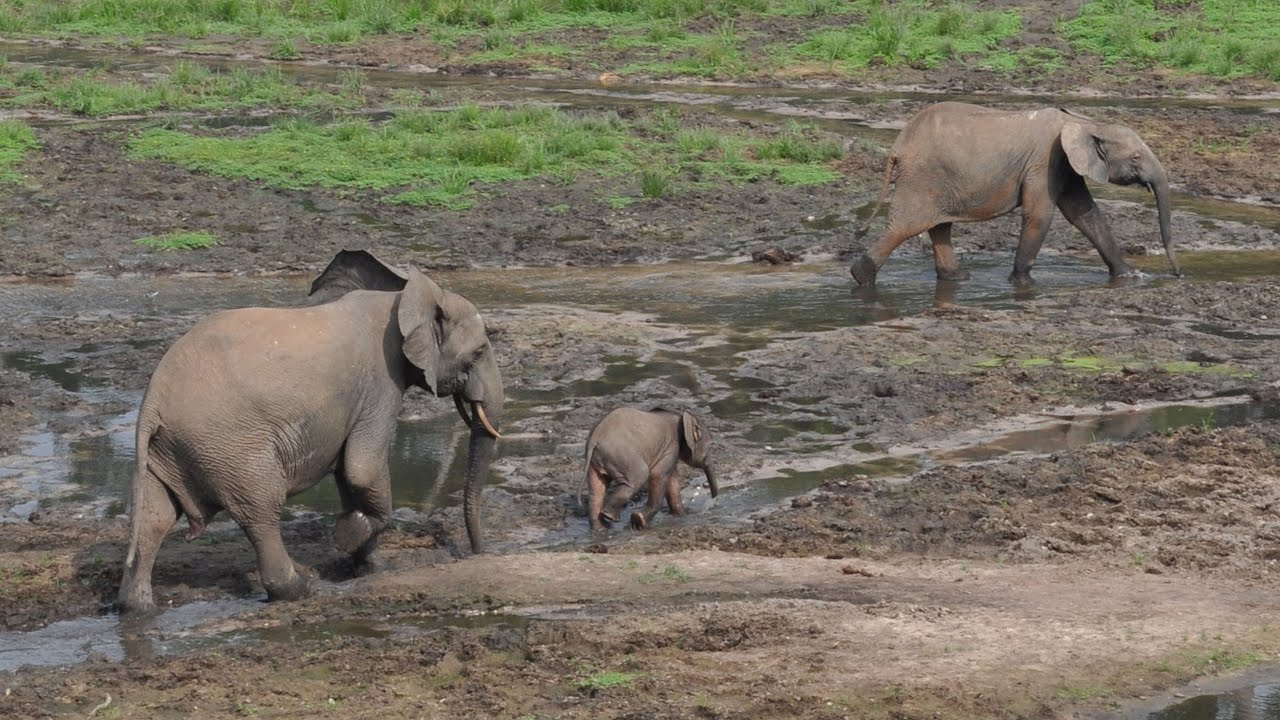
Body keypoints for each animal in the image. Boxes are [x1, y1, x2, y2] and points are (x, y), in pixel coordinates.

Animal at [117, 250, 504, 613]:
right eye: (478, 352)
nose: (476, 552)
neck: (405, 297)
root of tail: (152, 397)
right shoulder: (381, 382)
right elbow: (362, 469)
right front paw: (348, 536)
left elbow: (349, 475)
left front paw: (373, 568)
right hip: (227, 445)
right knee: (261, 511)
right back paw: (300, 589)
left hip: (169, 446)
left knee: (153, 517)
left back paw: (137, 607)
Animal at [583, 407, 718, 531]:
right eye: (710, 446)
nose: (713, 499)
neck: (682, 417)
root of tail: (595, 437)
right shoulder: (671, 447)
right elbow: (658, 475)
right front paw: (638, 520)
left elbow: (672, 481)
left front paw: (682, 516)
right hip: (621, 456)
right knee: (640, 476)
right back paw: (610, 517)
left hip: (596, 462)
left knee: (596, 489)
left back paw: (600, 529)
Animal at [850, 101, 1182, 286]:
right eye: (1136, 158)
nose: (1178, 275)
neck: (1084, 123)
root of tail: (898, 145)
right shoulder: (1045, 161)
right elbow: (1040, 215)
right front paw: (1023, 283)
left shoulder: (1063, 166)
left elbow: (1086, 215)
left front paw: (1131, 276)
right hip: (923, 178)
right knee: (905, 227)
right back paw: (860, 277)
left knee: (939, 227)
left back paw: (958, 279)